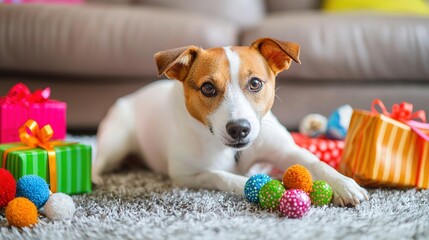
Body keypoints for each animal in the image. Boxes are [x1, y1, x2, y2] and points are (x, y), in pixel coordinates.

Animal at [93, 37, 368, 206]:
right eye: (208, 88)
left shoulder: (284, 150)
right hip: (116, 139)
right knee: (99, 158)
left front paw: (344, 184)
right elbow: (224, 176)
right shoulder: (187, 175)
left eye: (255, 83)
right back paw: (94, 177)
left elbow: (314, 161)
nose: (239, 129)